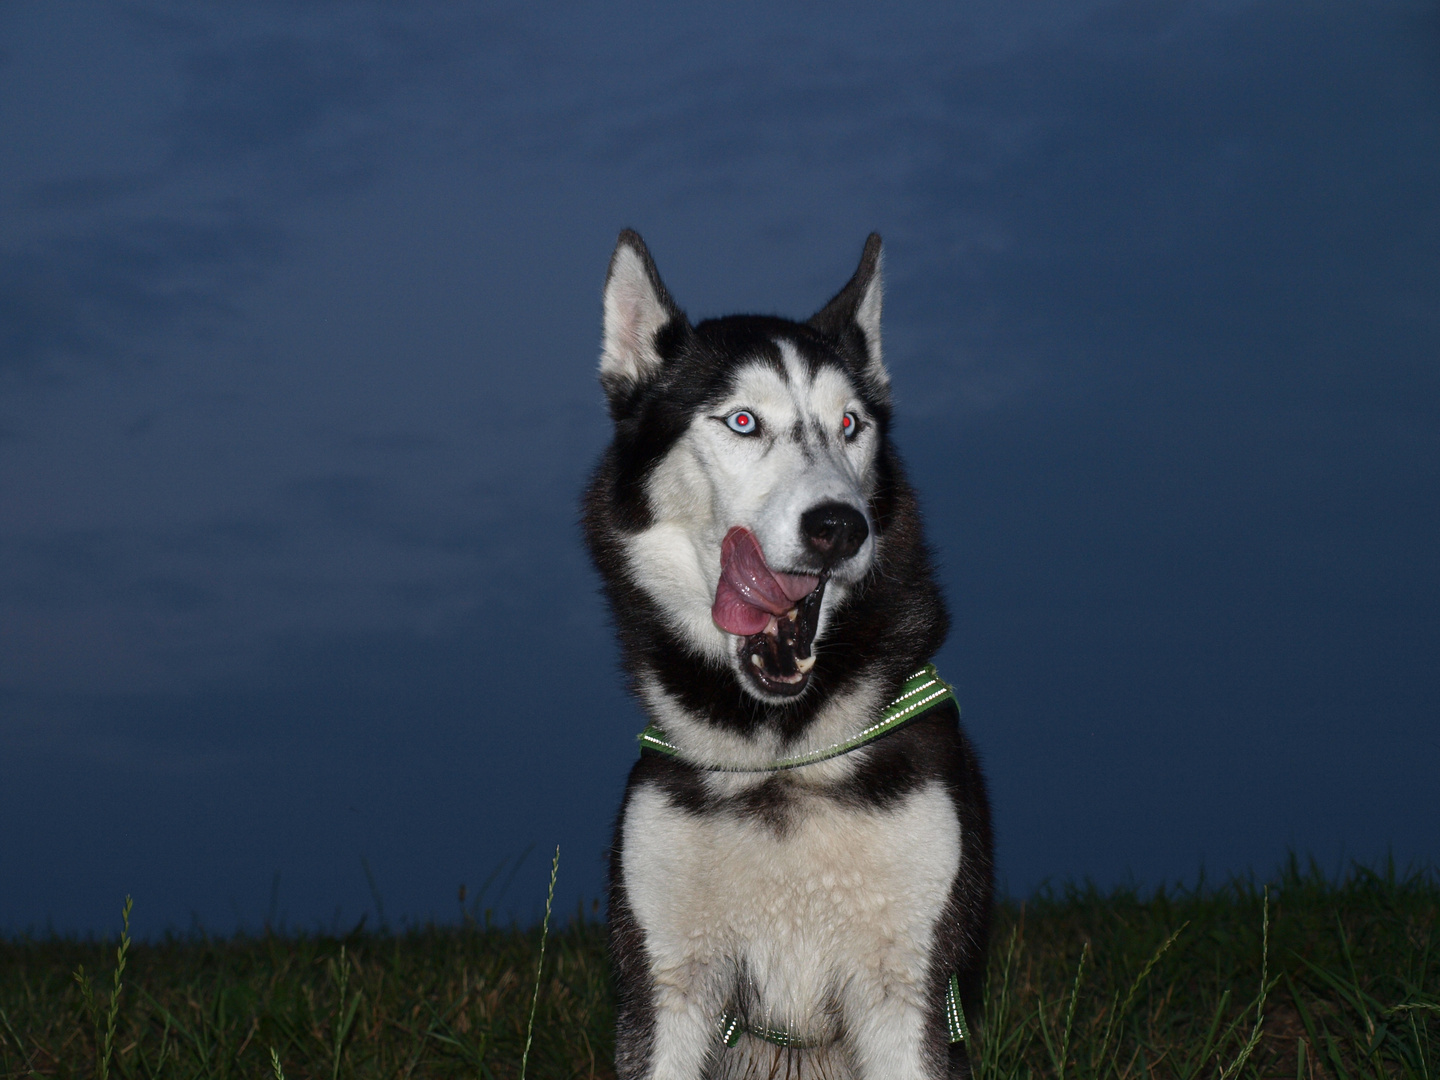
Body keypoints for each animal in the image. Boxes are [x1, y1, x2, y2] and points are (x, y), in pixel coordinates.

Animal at [578, 230, 996, 1080]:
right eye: (743, 421)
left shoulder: (907, 988)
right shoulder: (666, 983)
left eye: (850, 424)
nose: (841, 526)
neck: (777, 752)